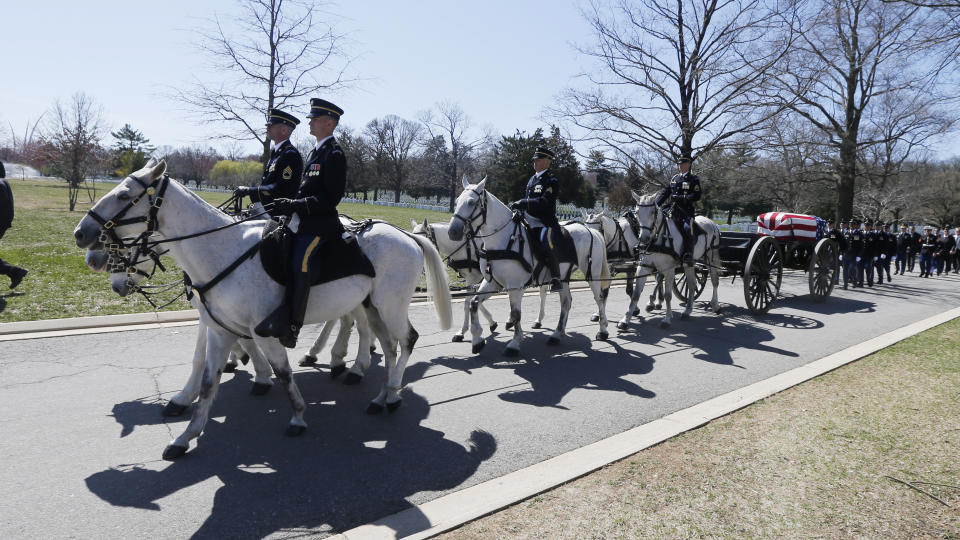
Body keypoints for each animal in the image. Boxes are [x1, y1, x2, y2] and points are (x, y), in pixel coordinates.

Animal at [73, 161, 452, 460]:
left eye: (125, 195)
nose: (83, 236)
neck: (220, 249)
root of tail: (405, 235)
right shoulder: (217, 324)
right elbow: (207, 376)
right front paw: (186, 430)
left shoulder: (262, 328)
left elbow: (280, 370)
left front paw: (292, 411)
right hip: (371, 305)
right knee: (383, 342)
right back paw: (381, 391)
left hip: (390, 305)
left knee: (404, 340)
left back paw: (380, 387)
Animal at [448, 175, 612, 356]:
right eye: (457, 201)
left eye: (471, 202)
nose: (452, 231)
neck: (504, 238)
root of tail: (592, 231)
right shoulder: (492, 282)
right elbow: (474, 304)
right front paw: (477, 340)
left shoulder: (515, 286)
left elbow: (515, 313)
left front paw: (514, 343)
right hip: (563, 277)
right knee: (566, 302)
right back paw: (557, 334)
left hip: (592, 274)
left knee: (599, 298)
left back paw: (603, 330)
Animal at [616, 192, 720, 332]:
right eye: (637, 212)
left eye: (653, 212)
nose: (643, 238)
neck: (659, 237)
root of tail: (711, 223)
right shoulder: (644, 267)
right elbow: (636, 294)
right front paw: (625, 320)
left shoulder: (669, 270)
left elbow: (668, 295)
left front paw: (666, 319)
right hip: (689, 264)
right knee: (692, 285)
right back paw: (687, 311)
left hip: (711, 258)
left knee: (714, 281)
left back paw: (715, 305)